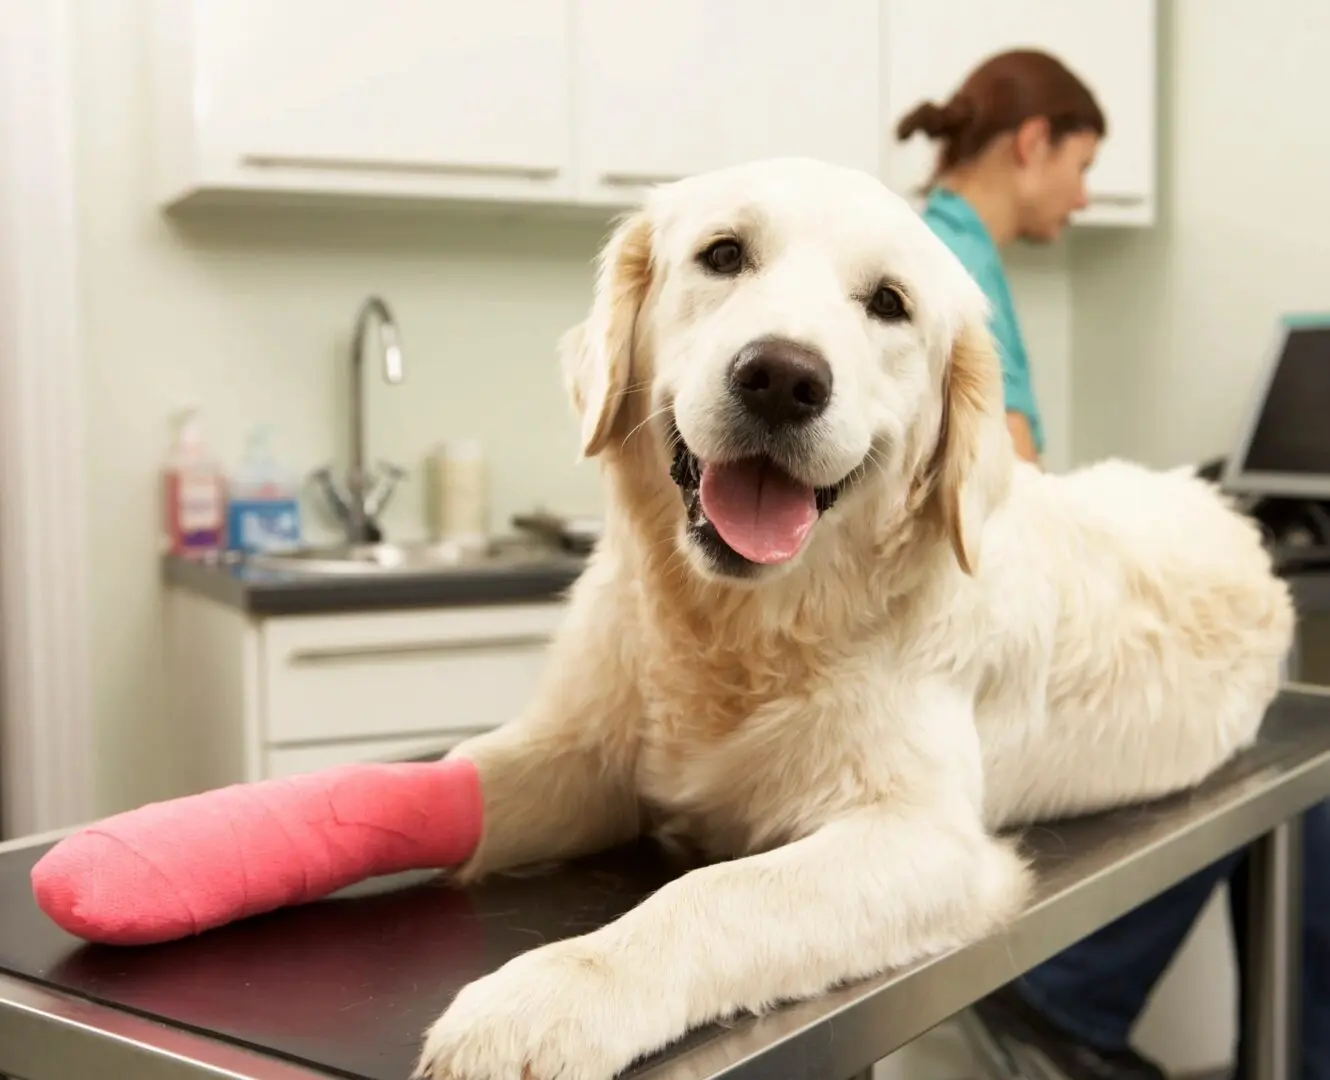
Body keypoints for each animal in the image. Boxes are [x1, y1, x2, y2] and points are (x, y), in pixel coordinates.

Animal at [412, 156, 1287, 1080]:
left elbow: (714, 893)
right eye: (724, 254)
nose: (782, 378)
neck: (743, 628)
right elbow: (465, 777)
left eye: (890, 303)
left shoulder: (924, 838)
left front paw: (544, 998)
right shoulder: (583, 754)